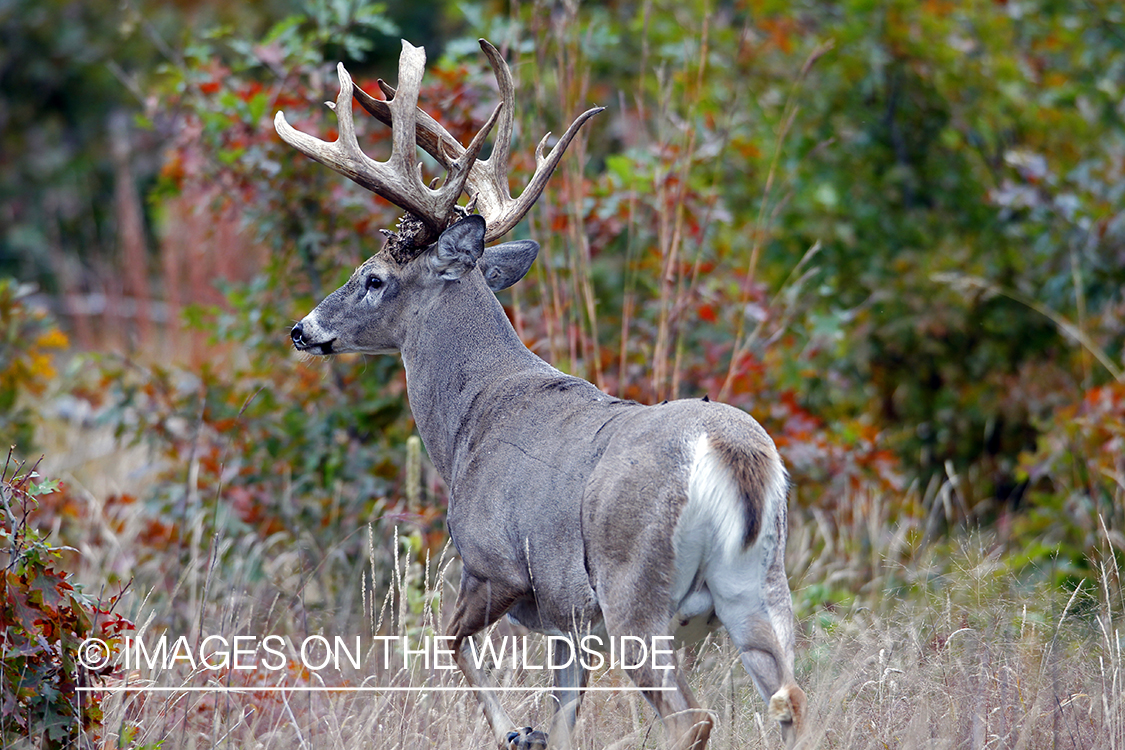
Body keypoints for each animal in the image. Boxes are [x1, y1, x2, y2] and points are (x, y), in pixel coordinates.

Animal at [276, 41, 805, 750]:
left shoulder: (495, 562)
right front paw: (536, 730)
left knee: (693, 718)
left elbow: (448, 642)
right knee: (790, 700)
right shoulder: (568, 622)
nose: (303, 328)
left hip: (634, 589)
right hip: (761, 586)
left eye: (374, 278)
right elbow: (564, 714)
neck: (468, 421)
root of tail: (732, 453)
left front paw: (515, 731)